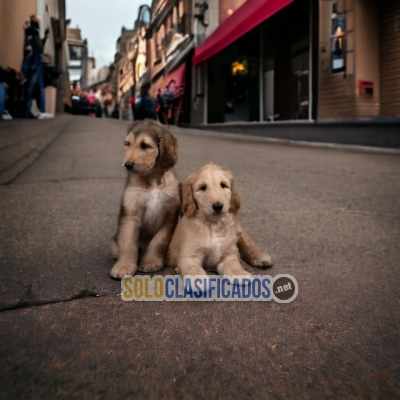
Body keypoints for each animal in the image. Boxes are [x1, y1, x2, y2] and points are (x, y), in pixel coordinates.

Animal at [108, 120, 179, 280]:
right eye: (127, 144)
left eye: (145, 145)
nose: (127, 165)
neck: (152, 181)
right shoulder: (130, 215)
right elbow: (128, 243)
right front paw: (124, 266)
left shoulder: (169, 217)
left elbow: (158, 242)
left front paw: (151, 262)